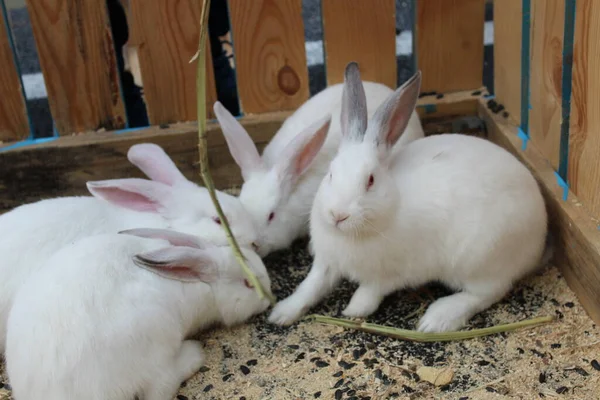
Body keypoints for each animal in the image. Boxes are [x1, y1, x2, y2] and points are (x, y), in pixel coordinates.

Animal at [4, 228, 272, 400]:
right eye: (248, 284)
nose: (268, 298)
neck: (200, 283)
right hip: (157, 341)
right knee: (160, 387)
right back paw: (193, 353)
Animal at [270, 63, 552, 332]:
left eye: (370, 181)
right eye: (330, 173)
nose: (338, 215)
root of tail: (540, 237)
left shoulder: (394, 273)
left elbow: (371, 291)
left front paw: (353, 310)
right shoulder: (326, 263)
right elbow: (311, 286)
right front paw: (280, 314)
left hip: (481, 257)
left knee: (487, 292)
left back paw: (437, 320)